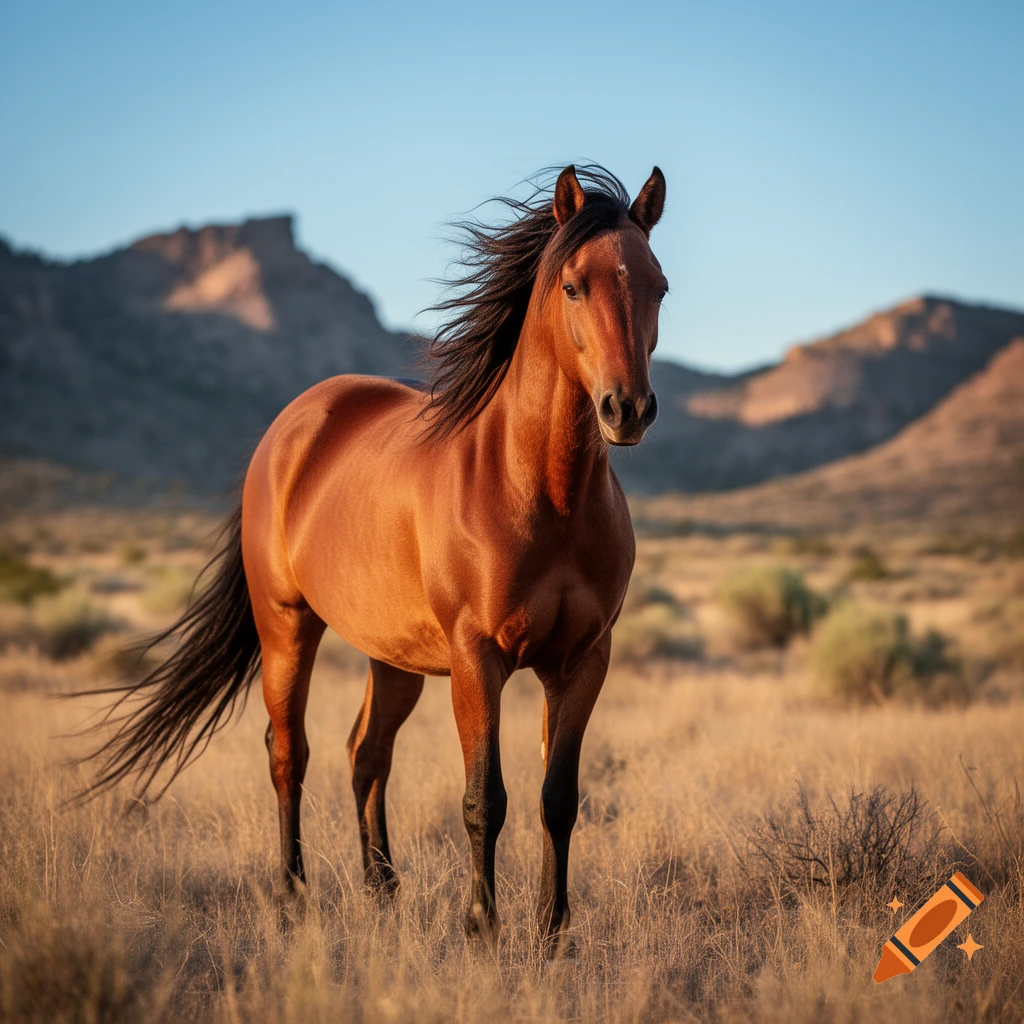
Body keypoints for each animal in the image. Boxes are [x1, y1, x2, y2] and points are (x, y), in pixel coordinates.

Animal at [84, 163, 668, 953]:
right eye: (574, 286)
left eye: (658, 285)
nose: (626, 409)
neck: (542, 491)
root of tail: (293, 426)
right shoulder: (477, 658)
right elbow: (485, 799)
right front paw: (482, 926)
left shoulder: (582, 661)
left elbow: (558, 798)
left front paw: (552, 934)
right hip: (287, 628)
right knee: (288, 752)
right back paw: (292, 893)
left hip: (392, 656)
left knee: (366, 754)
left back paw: (382, 887)